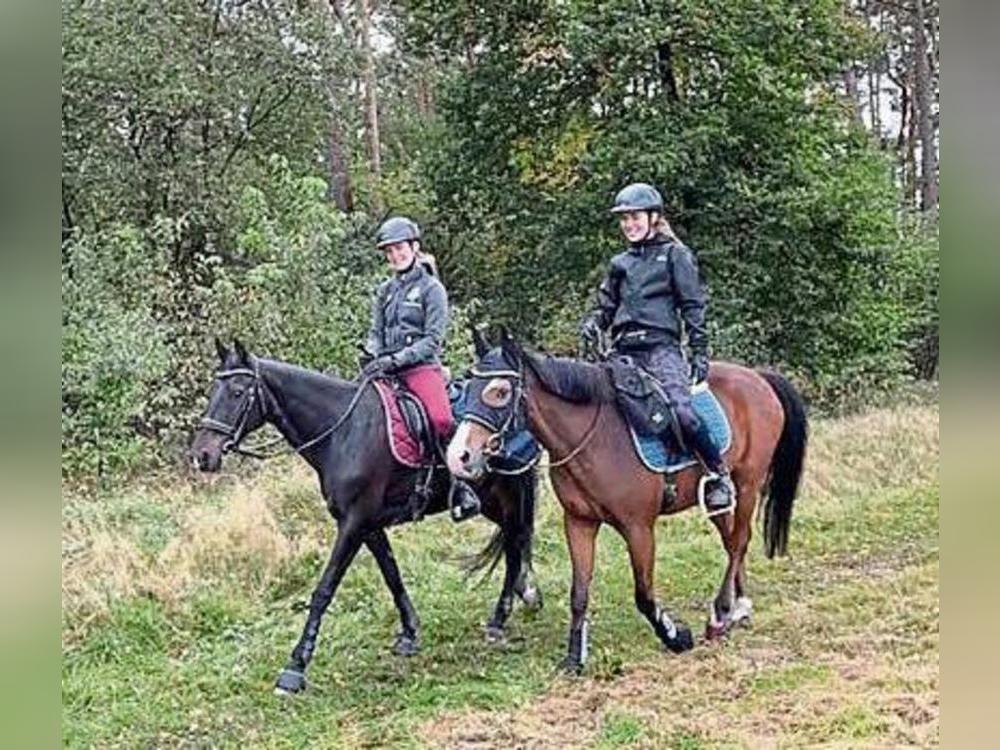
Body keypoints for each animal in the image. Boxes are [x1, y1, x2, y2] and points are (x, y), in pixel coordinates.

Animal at [188, 340, 540, 700]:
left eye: (238, 391)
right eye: (214, 389)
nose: (201, 456)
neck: (343, 432)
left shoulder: (353, 523)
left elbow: (324, 589)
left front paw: (295, 668)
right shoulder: (368, 525)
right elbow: (391, 574)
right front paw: (410, 632)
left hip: (509, 493)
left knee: (516, 542)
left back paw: (501, 617)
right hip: (494, 501)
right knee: (513, 541)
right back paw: (524, 594)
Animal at [446, 332, 804, 672]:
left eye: (500, 391)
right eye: (468, 386)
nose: (459, 456)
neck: (595, 437)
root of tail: (758, 378)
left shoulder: (638, 528)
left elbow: (644, 594)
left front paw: (675, 636)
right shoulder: (579, 522)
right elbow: (579, 593)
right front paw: (575, 658)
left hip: (748, 484)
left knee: (739, 541)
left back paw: (720, 615)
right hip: (718, 498)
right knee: (732, 540)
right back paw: (736, 608)